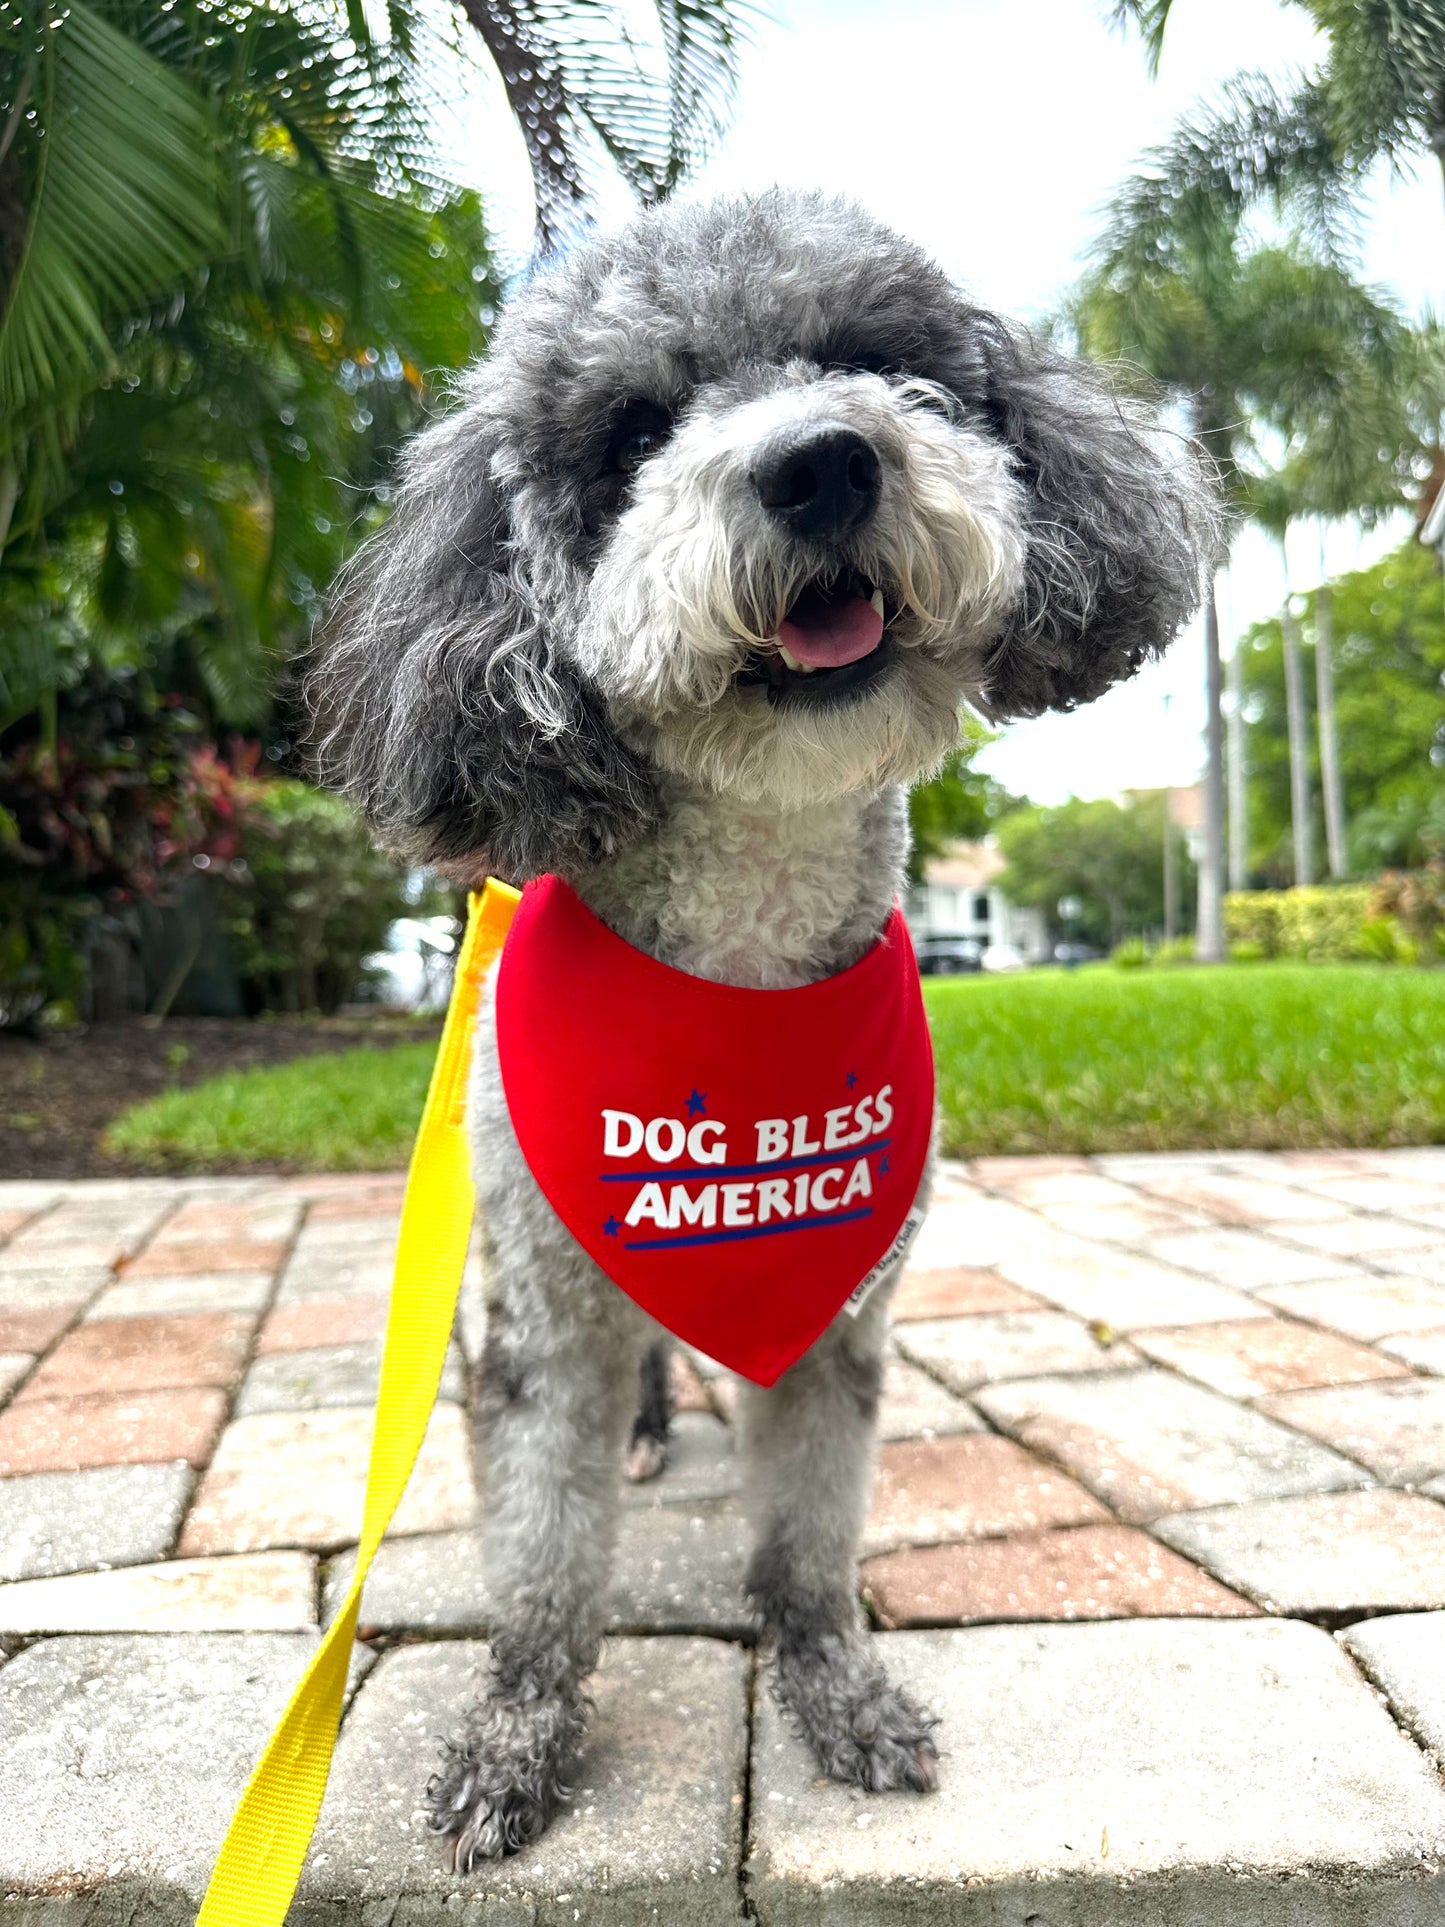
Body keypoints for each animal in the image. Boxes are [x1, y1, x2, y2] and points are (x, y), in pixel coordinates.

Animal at [314, 191, 1225, 1865]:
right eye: (632, 431)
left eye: (868, 355)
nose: (821, 462)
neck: (736, 981)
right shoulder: (539, 1329)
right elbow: (542, 1560)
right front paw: (518, 1734)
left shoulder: (839, 1323)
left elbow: (806, 1537)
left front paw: (835, 1688)